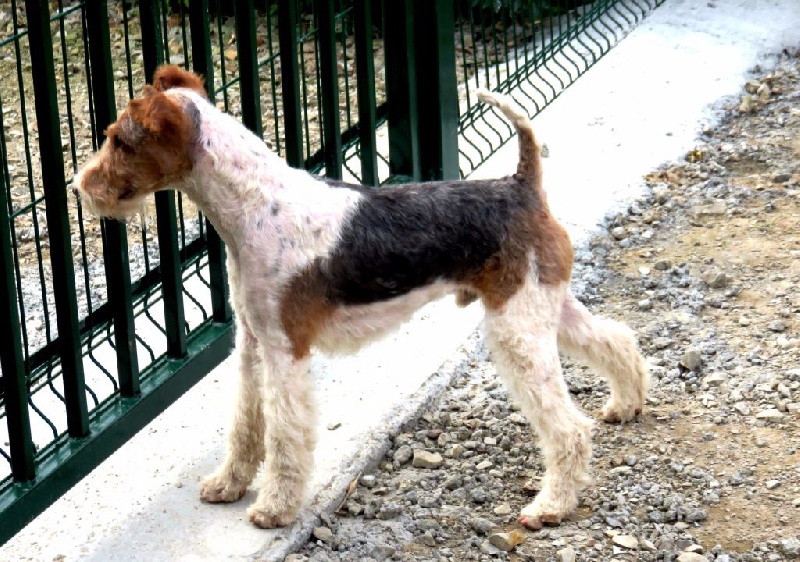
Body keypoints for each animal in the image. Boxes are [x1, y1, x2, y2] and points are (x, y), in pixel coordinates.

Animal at [74, 65, 649, 531]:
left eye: (119, 140)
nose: (81, 186)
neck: (253, 206)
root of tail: (521, 183)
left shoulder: (285, 350)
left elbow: (284, 436)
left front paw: (273, 507)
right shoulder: (253, 342)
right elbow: (246, 424)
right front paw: (227, 484)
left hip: (517, 329)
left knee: (568, 428)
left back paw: (550, 506)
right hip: (544, 307)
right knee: (616, 340)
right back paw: (626, 403)